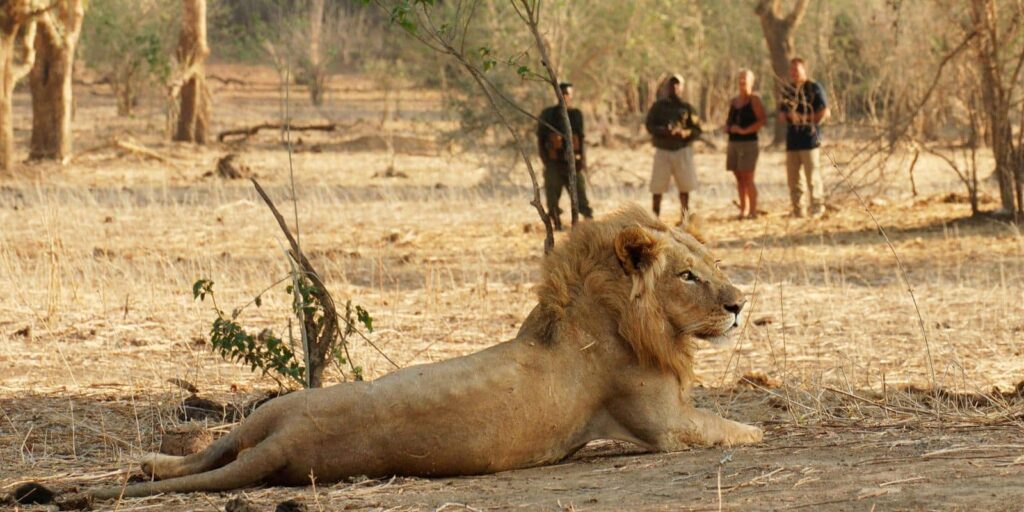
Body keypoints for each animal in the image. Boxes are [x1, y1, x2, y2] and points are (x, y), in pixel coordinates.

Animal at [91, 204, 762, 499]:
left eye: (712, 265)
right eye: (688, 277)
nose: (740, 304)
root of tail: (287, 442)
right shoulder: (664, 422)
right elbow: (735, 428)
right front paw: (757, 430)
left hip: (267, 413)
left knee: (209, 452)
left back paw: (149, 465)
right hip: (278, 418)